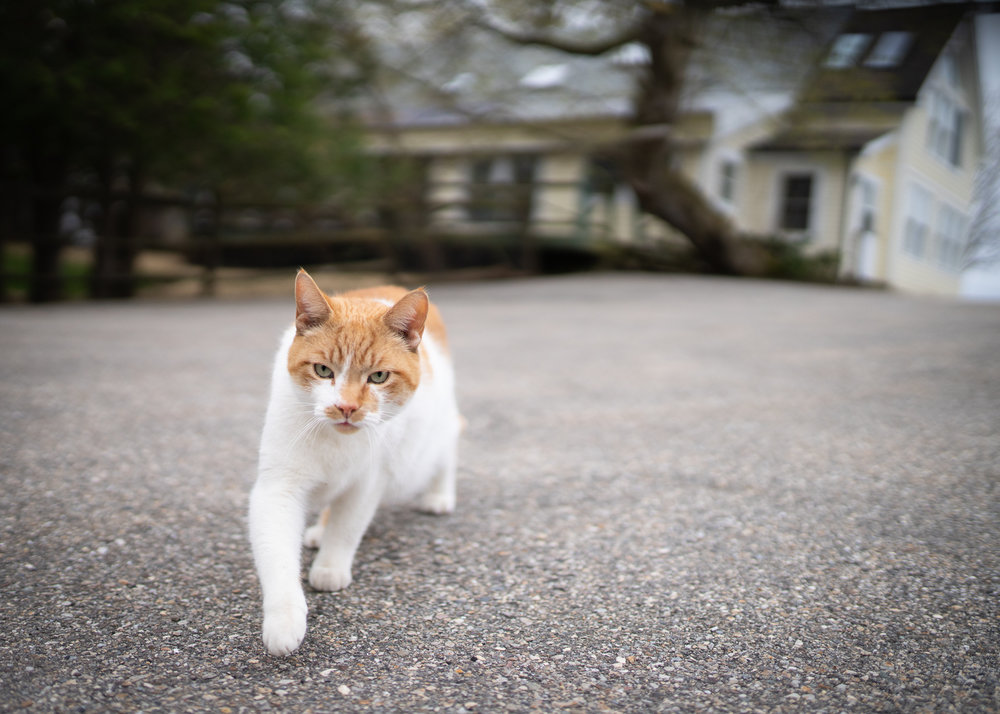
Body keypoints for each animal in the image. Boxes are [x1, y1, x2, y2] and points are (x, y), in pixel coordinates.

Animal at [248, 270, 458, 652]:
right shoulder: (278, 488)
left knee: (448, 444)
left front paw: (330, 566)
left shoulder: (368, 483)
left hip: (439, 426)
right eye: (322, 370)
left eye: (378, 377)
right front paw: (284, 620)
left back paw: (439, 495)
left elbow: (347, 528)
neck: (335, 440)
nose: (346, 407)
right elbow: (278, 556)